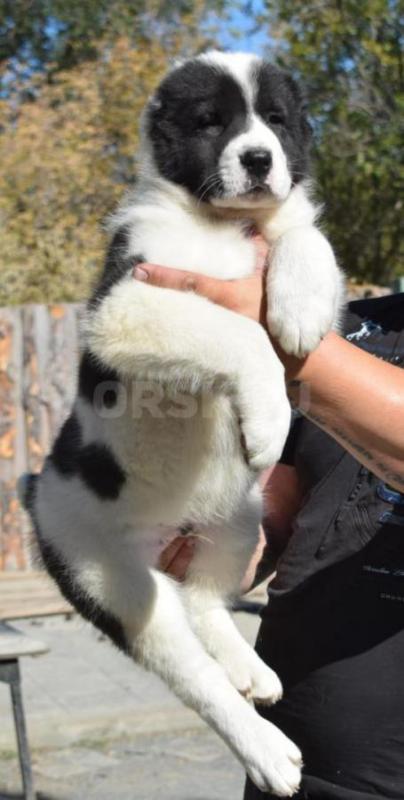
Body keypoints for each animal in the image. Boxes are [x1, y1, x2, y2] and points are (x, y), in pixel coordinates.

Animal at [22, 53, 342, 796]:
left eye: (275, 120)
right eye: (210, 123)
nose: (258, 159)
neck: (216, 224)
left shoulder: (277, 233)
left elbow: (303, 235)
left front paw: (300, 309)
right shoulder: (128, 302)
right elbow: (234, 329)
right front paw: (269, 413)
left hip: (239, 517)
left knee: (205, 602)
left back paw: (249, 668)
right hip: (113, 578)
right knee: (193, 675)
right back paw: (267, 751)